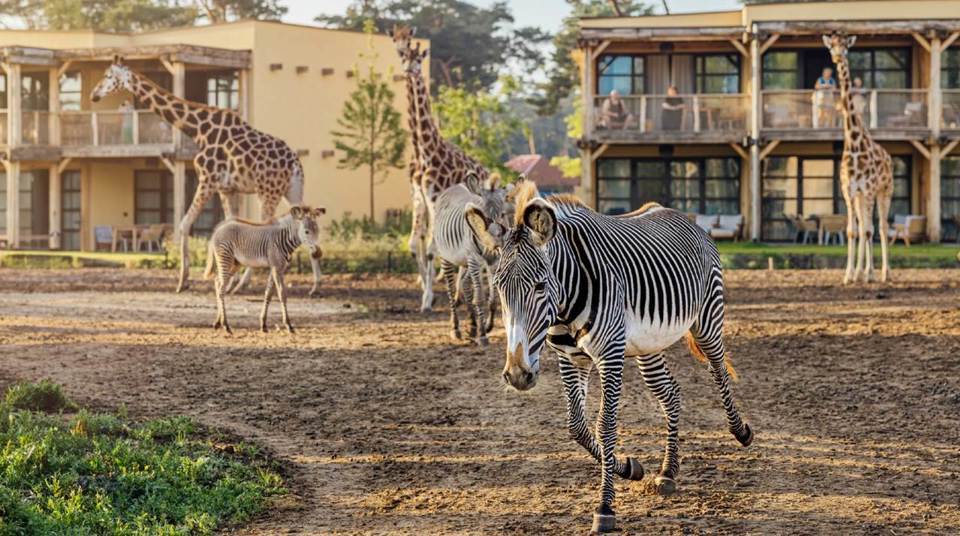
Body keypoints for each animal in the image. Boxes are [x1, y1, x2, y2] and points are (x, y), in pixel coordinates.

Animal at [90, 56, 322, 296]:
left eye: (108, 75)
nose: (93, 95)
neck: (197, 130)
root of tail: (294, 163)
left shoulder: (207, 179)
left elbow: (184, 224)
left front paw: (183, 281)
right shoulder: (225, 188)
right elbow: (230, 223)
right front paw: (227, 275)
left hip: (268, 191)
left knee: (268, 224)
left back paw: (244, 284)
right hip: (292, 189)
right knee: (306, 213)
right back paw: (314, 285)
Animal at [203, 206, 326, 336]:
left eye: (318, 231)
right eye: (307, 231)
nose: (318, 253)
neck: (283, 239)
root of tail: (218, 229)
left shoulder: (277, 268)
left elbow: (268, 294)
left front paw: (263, 324)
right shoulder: (276, 267)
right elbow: (282, 294)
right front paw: (288, 325)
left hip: (235, 263)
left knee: (218, 282)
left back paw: (218, 322)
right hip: (225, 258)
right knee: (221, 289)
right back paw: (226, 325)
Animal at [432, 174, 512, 346]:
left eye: (502, 214)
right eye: (483, 216)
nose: (495, 243)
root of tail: (455, 186)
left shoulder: (494, 262)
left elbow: (493, 299)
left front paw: (487, 326)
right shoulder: (475, 260)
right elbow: (480, 298)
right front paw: (483, 335)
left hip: (466, 263)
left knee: (465, 284)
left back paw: (472, 324)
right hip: (446, 257)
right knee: (451, 291)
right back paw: (456, 328)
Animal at [464, 183, 752, 532]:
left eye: (540, 285)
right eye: (498, 287)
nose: (518, 374)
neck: (565, 302)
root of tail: (682, 216)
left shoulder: (610, 355)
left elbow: (605, 425)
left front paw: (605, 507)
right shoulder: (570, 359)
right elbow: (576, 426)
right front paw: (628, 467)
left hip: (707, 319)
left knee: (718, 368)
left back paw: (741, 431)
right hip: (648, 347)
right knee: (671, 394)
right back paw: (668, 472)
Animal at [820, 32, 896, 284]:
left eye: (845, 46)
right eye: (831, 46)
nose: (836, 57)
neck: (853, 143)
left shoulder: (870, 189)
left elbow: (870, 230)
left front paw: (870, 274)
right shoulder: (849, 190)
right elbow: (853, 230)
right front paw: (849, 275)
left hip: (885, 191)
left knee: (881, 227)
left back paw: (884, 273)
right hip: (863, 197)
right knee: (864, 226)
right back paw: (861, 272)